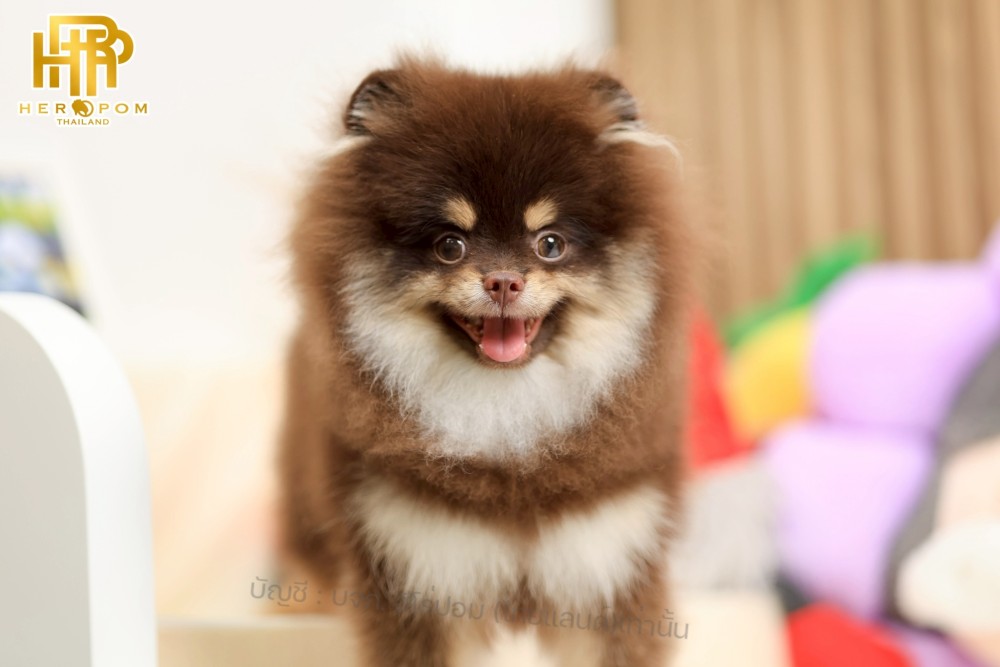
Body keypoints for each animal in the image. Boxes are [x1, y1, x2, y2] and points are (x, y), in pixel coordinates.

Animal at [278, 57, 694, 667]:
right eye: (450, 245)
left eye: (550, 243)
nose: (502, 281)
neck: (506, 423)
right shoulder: (413, 566)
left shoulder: (611, 559)